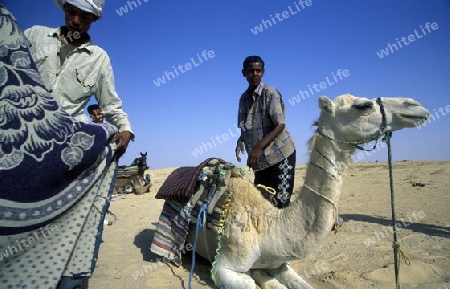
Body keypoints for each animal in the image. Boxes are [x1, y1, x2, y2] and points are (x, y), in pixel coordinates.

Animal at [186, 93, 428, 286]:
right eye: (364, 105)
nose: (415, 105)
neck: (267, 228)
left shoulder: (279, 264)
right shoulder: (224, 267)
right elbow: (249, 281)